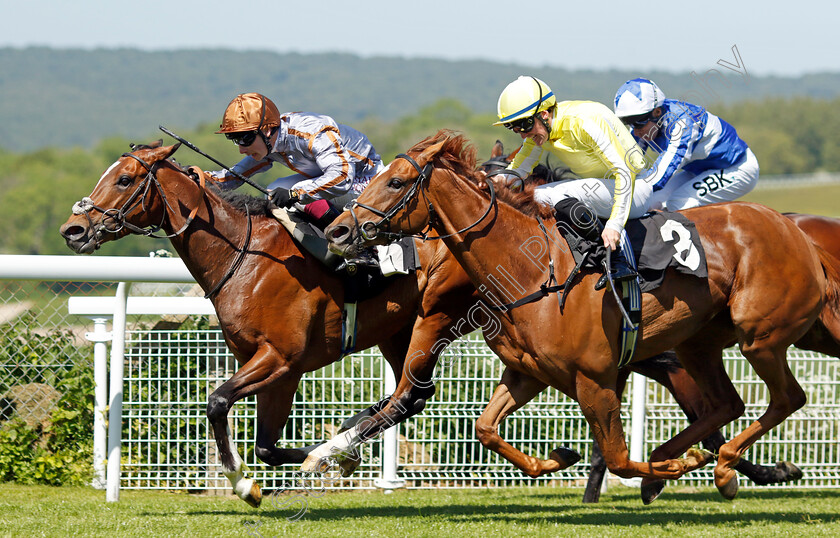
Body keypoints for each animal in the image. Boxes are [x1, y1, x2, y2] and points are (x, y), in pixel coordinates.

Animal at [326, 132, 840, 500]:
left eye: (394, 182)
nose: (338, 230)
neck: (532, 270)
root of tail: (794, 229)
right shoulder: (528, 374)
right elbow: (487, 428)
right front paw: (559, 457)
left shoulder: (596, 379)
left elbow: (617, 457)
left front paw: (674, 467)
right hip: (702, 342)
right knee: (726, 405)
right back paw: (702, 465)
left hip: (760, 337)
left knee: (786, 398)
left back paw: (720, 468)